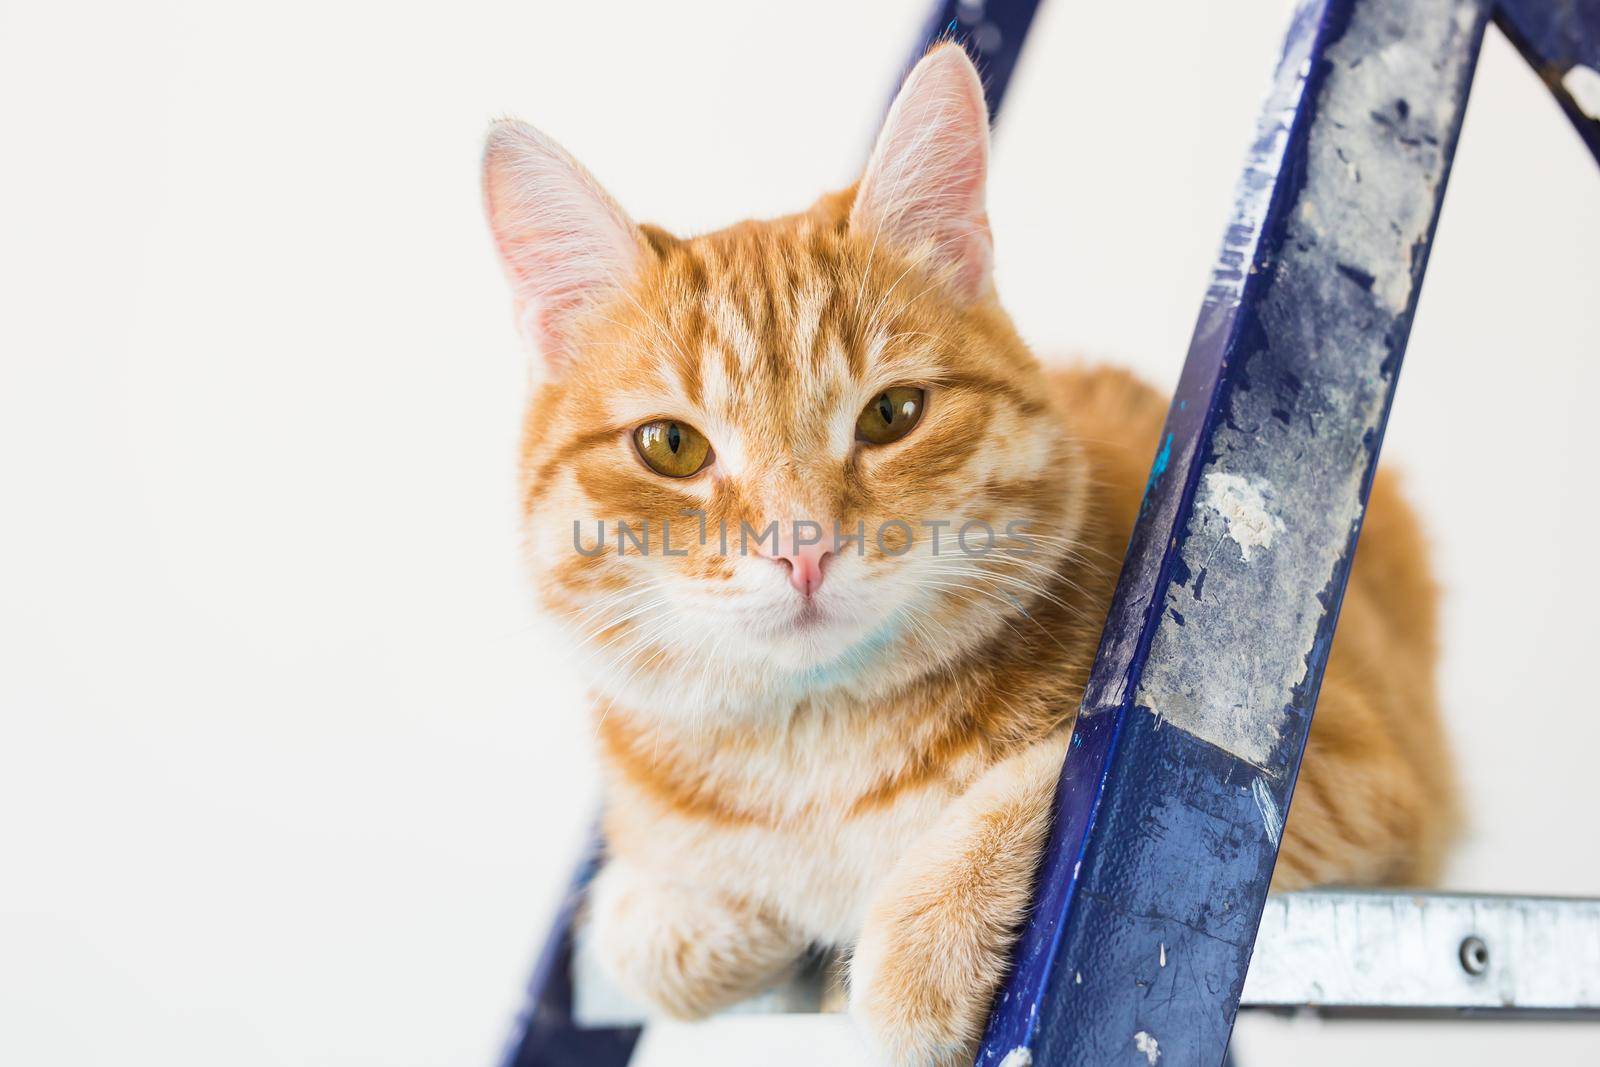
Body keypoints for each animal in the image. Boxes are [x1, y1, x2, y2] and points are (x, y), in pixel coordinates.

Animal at [480, 43, 1459, 1067]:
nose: (803, 549)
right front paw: (717, 915)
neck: (819, 754)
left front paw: (923, 938)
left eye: (891, 414)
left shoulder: (1329, 779)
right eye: (671, 446)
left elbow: (1057, 773)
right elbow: (635, 930)